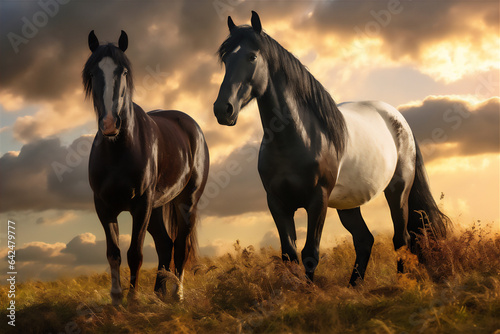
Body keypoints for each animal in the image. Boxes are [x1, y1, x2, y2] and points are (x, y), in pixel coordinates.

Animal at [83, 30, 208, 304]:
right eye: (92, 73)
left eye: (123, 72)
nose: (110, 124)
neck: (118, 150)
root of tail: (192, 126)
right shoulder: (103, 206)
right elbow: (114, 252)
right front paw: (116, 297)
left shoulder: (141, 205)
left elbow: (135, 253)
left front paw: (132, 299)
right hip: (157, 208)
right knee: (164, 243)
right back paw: (159, 292)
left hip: (185, 202)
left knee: (180, 247)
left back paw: (177, 294)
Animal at [212, 12, 450, 284]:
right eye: (225, 59)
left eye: (252, 56)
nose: (223, 109)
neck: (297, 140)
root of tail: (399, 120)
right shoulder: (277, 203)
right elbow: (289, 254)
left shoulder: (318, 200)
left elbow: (310, 253)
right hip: (349, 204)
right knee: (365, 239)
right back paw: (354, 286)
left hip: (397, 192)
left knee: (402, 239)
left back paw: (400, 283)